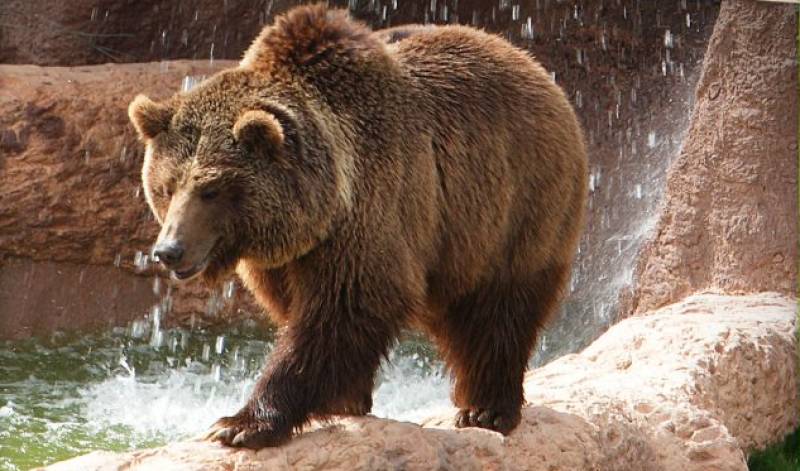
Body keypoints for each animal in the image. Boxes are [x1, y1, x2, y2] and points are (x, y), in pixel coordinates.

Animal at [128, 4, 587, 449]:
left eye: (211, 189)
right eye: (166, 187)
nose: (168, 251)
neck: (321, 207)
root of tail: (530, 63)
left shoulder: (372, 213)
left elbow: (339, 315)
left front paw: (240, 424)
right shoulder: (285, 259)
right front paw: (344, 398)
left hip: (515, 204)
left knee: (500, 309)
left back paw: (487, 409)